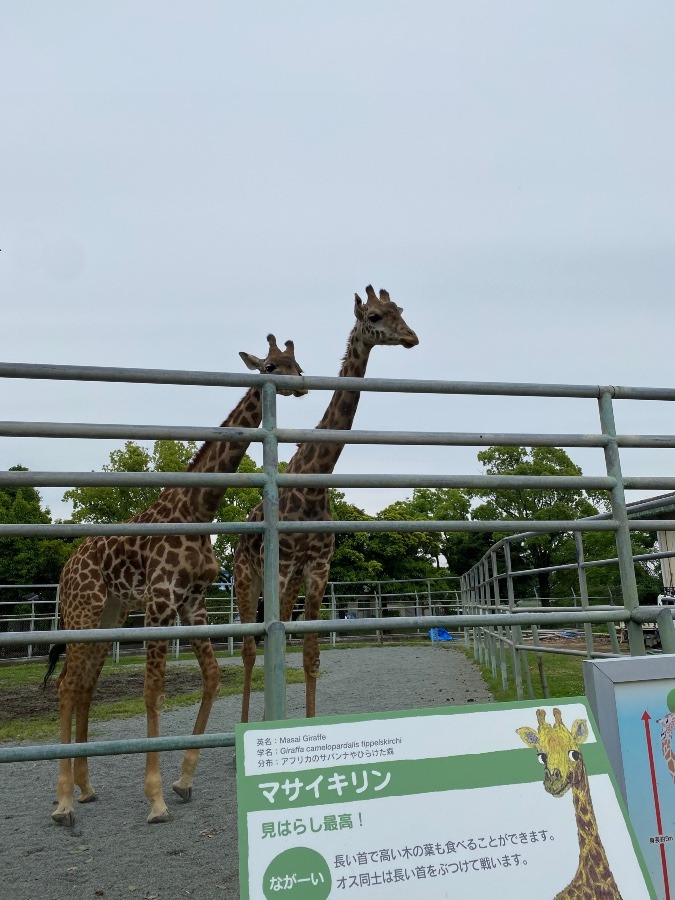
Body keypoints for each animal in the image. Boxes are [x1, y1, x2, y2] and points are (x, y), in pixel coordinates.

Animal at [43, 334, 304, 828]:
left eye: (297, 363)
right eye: (271, 365)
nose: (301, 383)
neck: (199, 507)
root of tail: (66, 567)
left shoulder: (192, 602)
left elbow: (213, 676)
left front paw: (184, 780)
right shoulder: (161, 601)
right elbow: (153, 692)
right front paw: (156, 798)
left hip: (110, 615)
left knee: (83, 683)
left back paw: (84, 789)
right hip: (83, 609)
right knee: (67, 684)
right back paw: (63, 801)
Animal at [235, 288, 420, 724]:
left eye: (400, 310)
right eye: (374, 316)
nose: (411, 337)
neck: (314, 484)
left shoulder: (318, 570)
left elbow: (311, 655)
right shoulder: (282, 569)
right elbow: (274, 647)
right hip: (246, 578)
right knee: (248, 649)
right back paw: (248, 722)